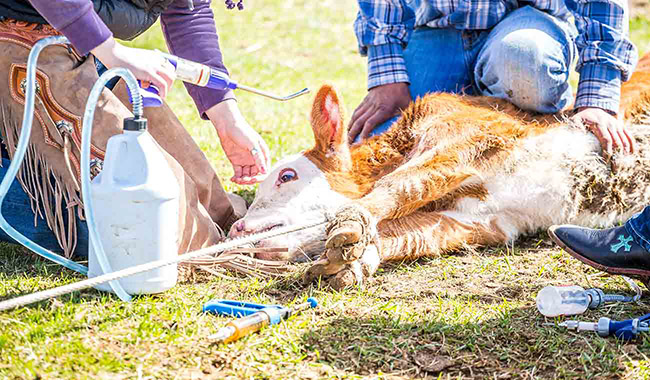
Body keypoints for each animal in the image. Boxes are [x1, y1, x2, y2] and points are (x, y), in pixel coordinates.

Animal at [230, 53, 648, 290]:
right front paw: (354, 263)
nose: (236, 229)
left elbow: (400, 185)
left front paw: (352, 221)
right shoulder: (481, 221)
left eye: (287, 176)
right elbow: (403, 234)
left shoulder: (468, 135)